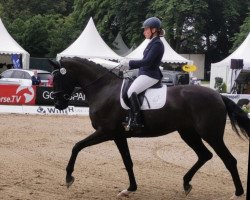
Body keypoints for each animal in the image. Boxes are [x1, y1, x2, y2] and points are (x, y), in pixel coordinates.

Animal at [47, 57, 249, 198]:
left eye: (57, 77)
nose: (57, 104)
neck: (104, 89)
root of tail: (218, 95)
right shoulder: (119, 135)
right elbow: (127, 162)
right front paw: (129, 189)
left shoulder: (105, 132)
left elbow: (77, 146)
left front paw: (69, 178)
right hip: (188, 133)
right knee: (204, 155)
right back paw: (186, 184)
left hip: (211, 135)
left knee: (229, 160)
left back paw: (237, 193)